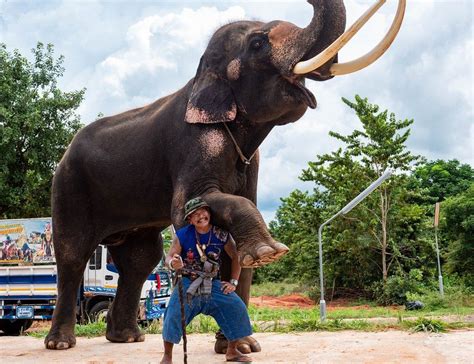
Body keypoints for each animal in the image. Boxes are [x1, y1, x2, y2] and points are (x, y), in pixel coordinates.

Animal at [45, 0, 404, 352]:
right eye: (257, 44)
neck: (200, 74)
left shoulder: (251, 160)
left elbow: (235, 239)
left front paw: (242, 346)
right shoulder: (193, 143)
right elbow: (188, 209)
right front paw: (269, 253)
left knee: (140, 259)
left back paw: (128, 338)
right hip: (68, 185)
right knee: (73, 253)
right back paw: (61, 344)